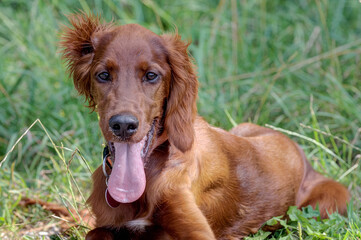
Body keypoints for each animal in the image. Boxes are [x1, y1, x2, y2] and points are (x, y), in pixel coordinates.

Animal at [60, 13, 348, 240]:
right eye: (103, 75)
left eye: (151, 76)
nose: (123, 125)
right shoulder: (108, 223)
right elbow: (95, 232)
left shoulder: (194, 228)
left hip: (328, 202)